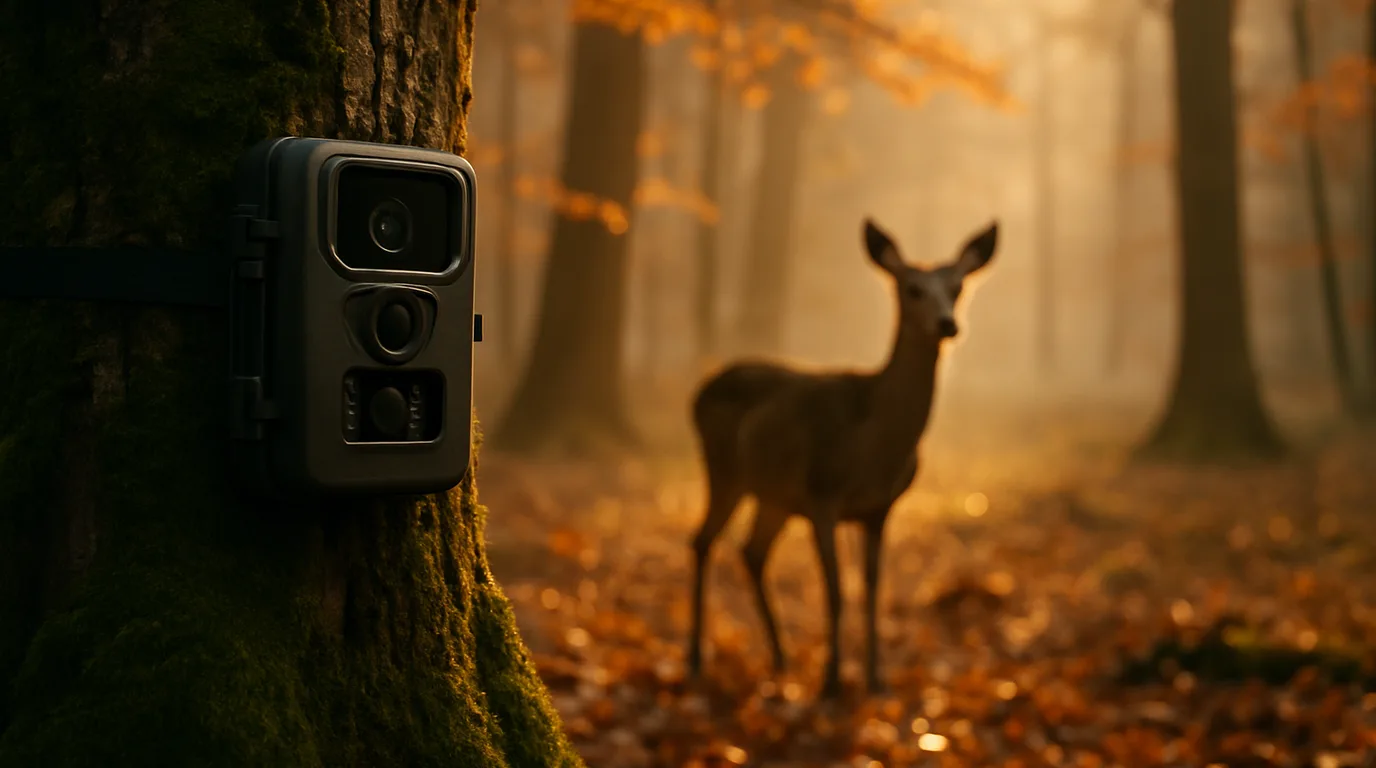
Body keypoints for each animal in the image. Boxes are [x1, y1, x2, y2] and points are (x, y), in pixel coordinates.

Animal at [684, 217, 999, 700]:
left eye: (958, 286)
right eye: (912, 288)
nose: (947, 323)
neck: (872, 447)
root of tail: (698, 393)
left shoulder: (879, 508)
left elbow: (871, 589)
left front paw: (876, 680)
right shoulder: (822, 493)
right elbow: (834, 590)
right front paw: (832, 680)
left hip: (773, 495)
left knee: (751, 551)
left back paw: (781, 656)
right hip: (723, 468)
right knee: (702, 541)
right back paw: (697, 658)